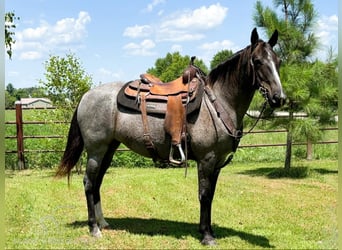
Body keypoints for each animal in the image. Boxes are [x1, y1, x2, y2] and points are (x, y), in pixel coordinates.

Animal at [56, 28, 286, 245]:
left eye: (278, 61)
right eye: (258, 61)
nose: (279, 98)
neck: (217, 103)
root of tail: (86, 96)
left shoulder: (218, 163)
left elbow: (211, 196)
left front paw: (208, 231)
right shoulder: (207, 159)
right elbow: (204, 195)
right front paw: (206, 236)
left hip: (109, 149)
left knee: (97, 183)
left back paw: (103, 222)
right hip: (96, 150)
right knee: (88, 182)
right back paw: (94, 228)